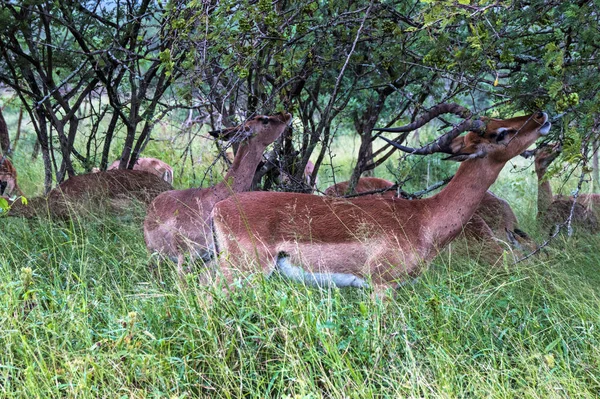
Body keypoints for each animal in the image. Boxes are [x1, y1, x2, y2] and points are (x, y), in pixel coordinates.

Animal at [144, 112, 292, 276]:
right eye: (265, 119)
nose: (286, 115)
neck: (215, 198)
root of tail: (153, 204)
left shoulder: (209, 257)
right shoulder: (185, 257)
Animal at [210, 106, 548, 294]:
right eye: (499, 133)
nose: (541, 116)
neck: (425, 217)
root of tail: (219, 208)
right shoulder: (381, 287)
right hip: (243, 271)